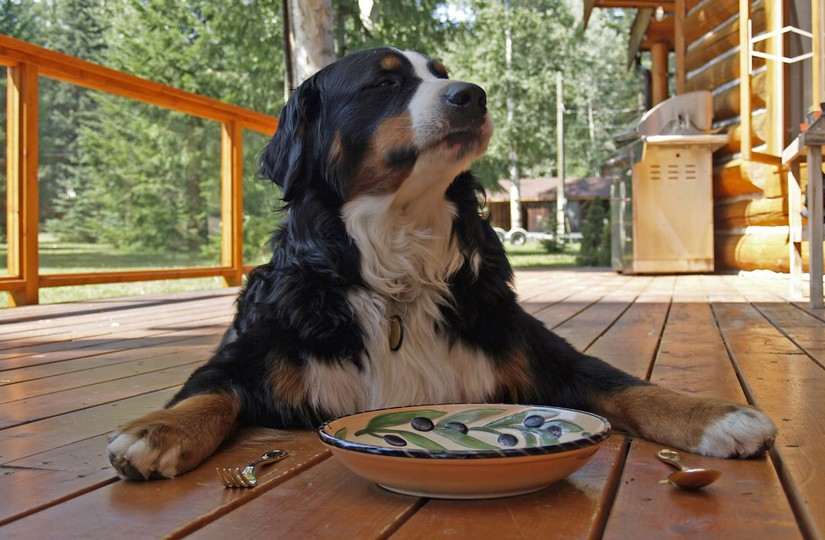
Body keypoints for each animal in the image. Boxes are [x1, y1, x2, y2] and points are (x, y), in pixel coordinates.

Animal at [106, 48, 776, 480]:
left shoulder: (535, 348)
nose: (472, 95)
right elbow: (208, 394)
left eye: (444, 75)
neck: (398, 268)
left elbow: (626, 385)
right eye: (383, 85)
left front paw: (715, 416)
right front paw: (155, 431)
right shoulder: (250, 352)